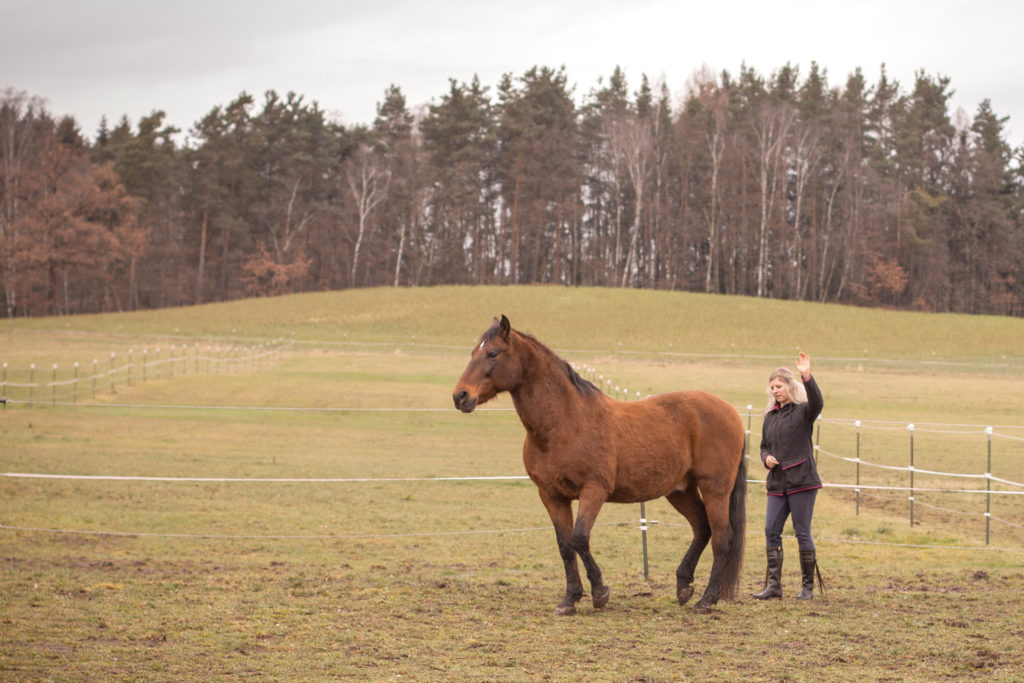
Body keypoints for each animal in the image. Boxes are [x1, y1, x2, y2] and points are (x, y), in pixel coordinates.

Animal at [452, 317, 749, 618]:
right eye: (473, 352)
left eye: (492, 353)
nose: (460, 396)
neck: (564, 422)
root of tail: (731, 412)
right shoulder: (551, 495)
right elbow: (565, 546)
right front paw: (569, 599)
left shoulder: (594, 490)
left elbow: (580, 538)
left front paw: (600, 592)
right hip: (680, 491)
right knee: (702, 528)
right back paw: (683, 586)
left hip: (714, 488)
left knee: (722, 538)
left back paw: (706, 599)